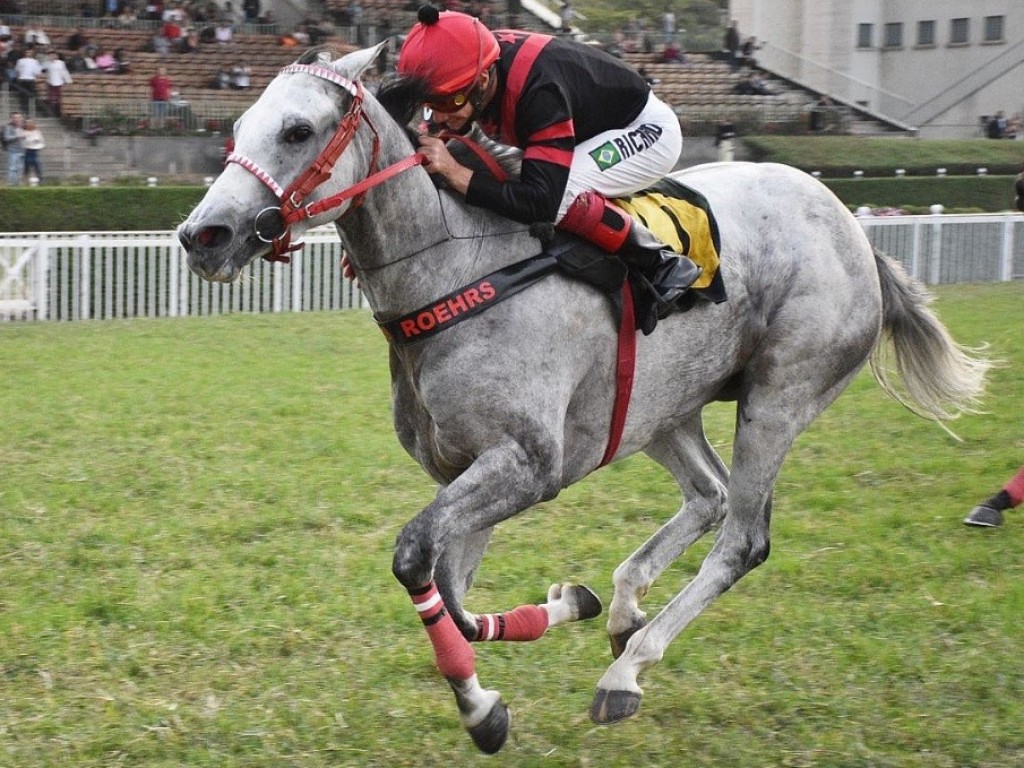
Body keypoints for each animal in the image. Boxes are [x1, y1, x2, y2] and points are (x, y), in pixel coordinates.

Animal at [178, 45, 991, 753]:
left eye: (297, 130)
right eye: (237, 129)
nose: (202, 235)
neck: (460, 271)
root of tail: (855, 227)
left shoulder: (527, 463)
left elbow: (417, 562)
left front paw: (488, 701)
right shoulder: (466, 472)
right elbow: (453, 597)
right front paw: (548, 628)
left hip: (779, 397)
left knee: (742, 537)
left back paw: (627, 671)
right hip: (663, 407)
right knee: (710, 496)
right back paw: (626, 607)